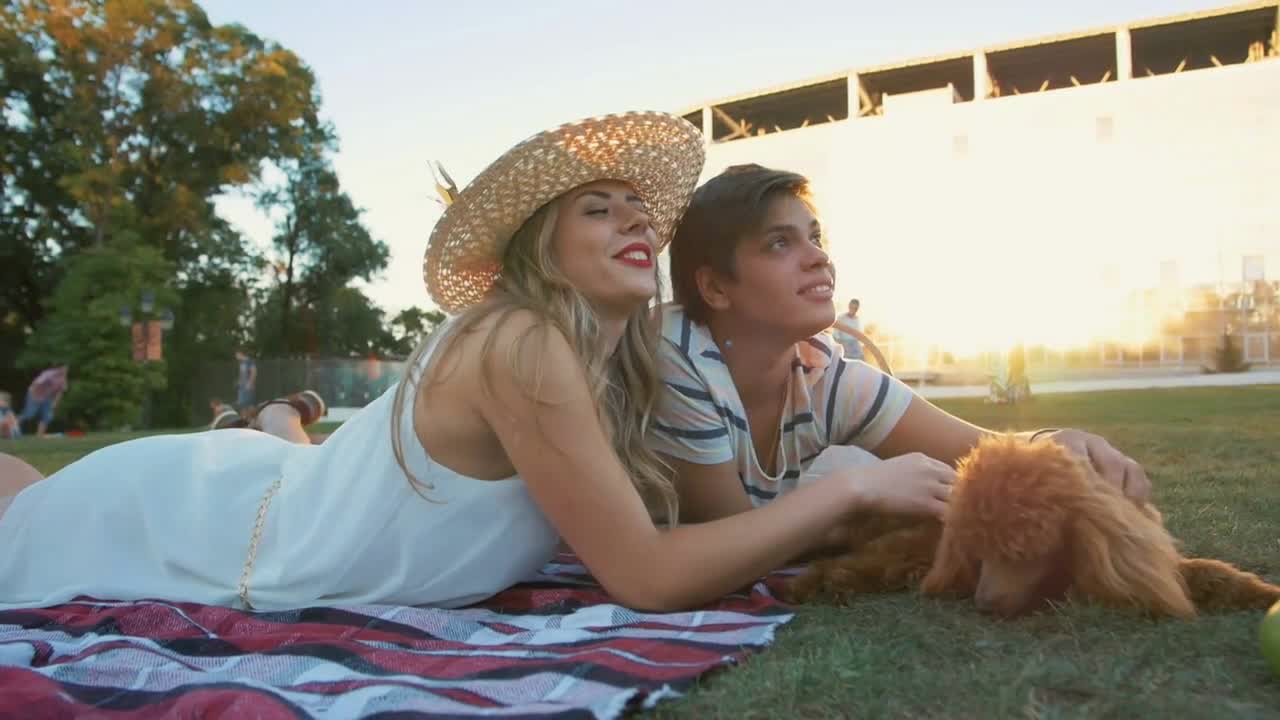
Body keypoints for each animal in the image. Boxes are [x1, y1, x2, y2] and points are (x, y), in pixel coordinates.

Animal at [788, 430, 1280, 617]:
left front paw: (1260, 592)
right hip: (900, 542)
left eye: (1025, 552)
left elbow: (1208, 573)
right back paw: (822, 585)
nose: (983, 604)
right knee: (845, 564)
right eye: (976, 551)